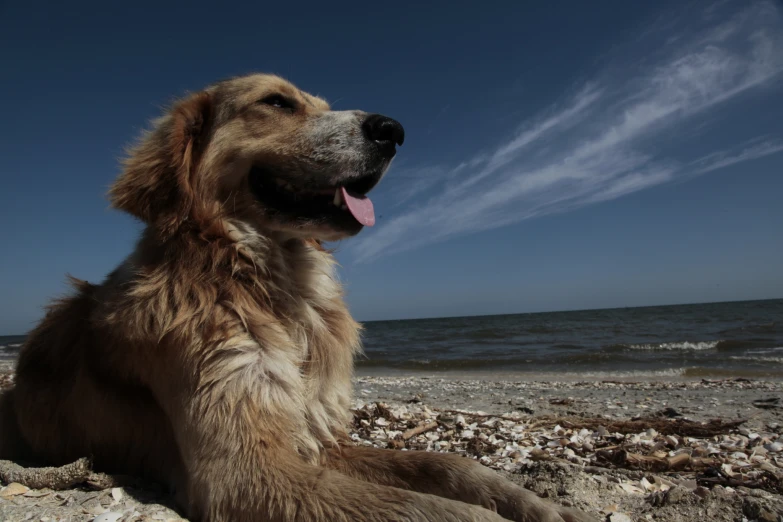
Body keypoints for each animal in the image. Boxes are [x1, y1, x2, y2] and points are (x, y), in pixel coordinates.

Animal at [0, 74, 596, 520]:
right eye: (277, 102)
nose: (393, 130)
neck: (272, 284)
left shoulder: (318, 439)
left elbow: (446, 466)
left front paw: (542, 506)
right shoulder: (244, 471)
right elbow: (427, 508)